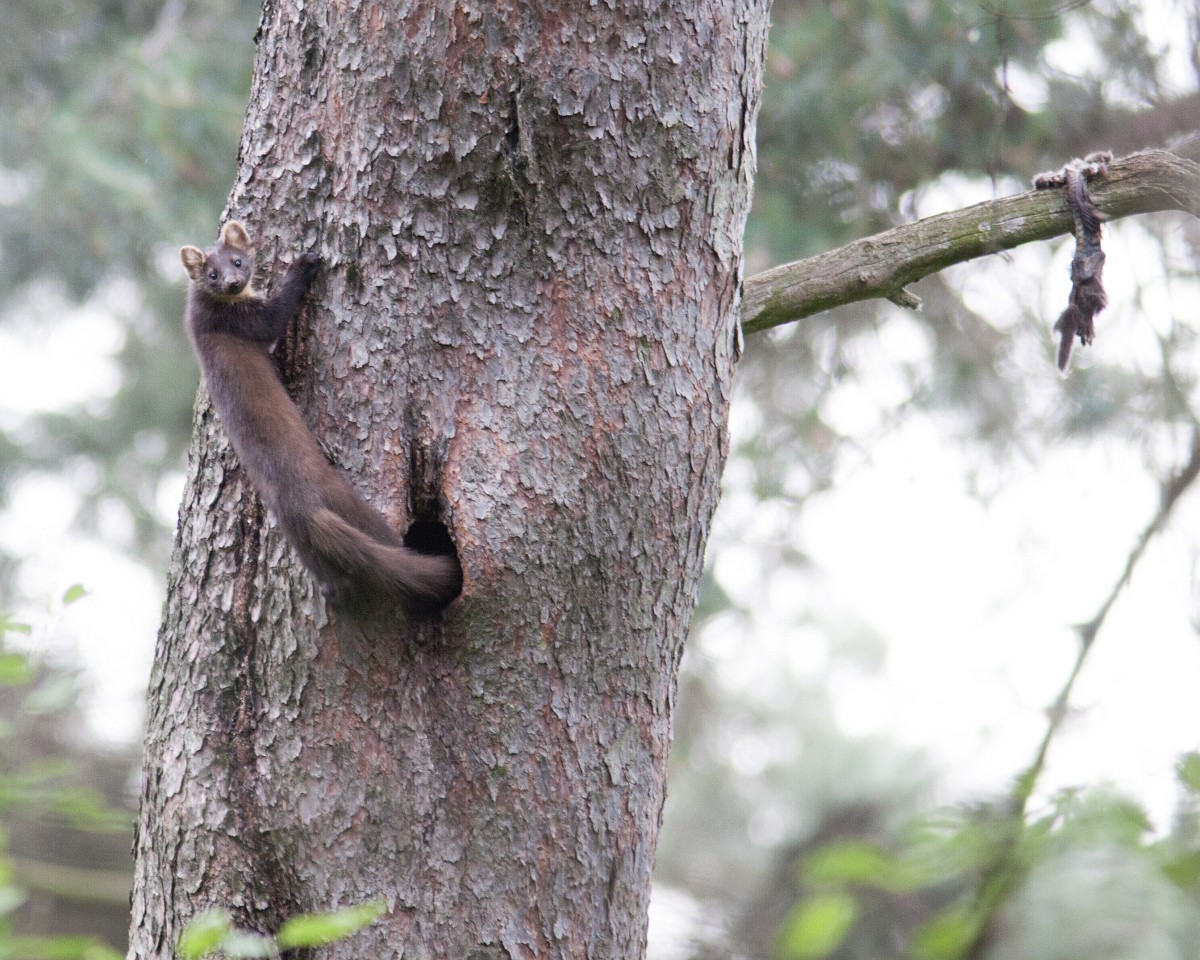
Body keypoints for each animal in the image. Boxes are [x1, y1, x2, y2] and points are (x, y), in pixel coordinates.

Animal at [180, 221, 461, 614]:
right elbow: (274, 317)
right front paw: (305, 263)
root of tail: (302, 508)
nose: (233, 283)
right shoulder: (244, 319)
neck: (200, 322)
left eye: (237, 261)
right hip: (348, 500)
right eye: (212, 274)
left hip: (300, 541)